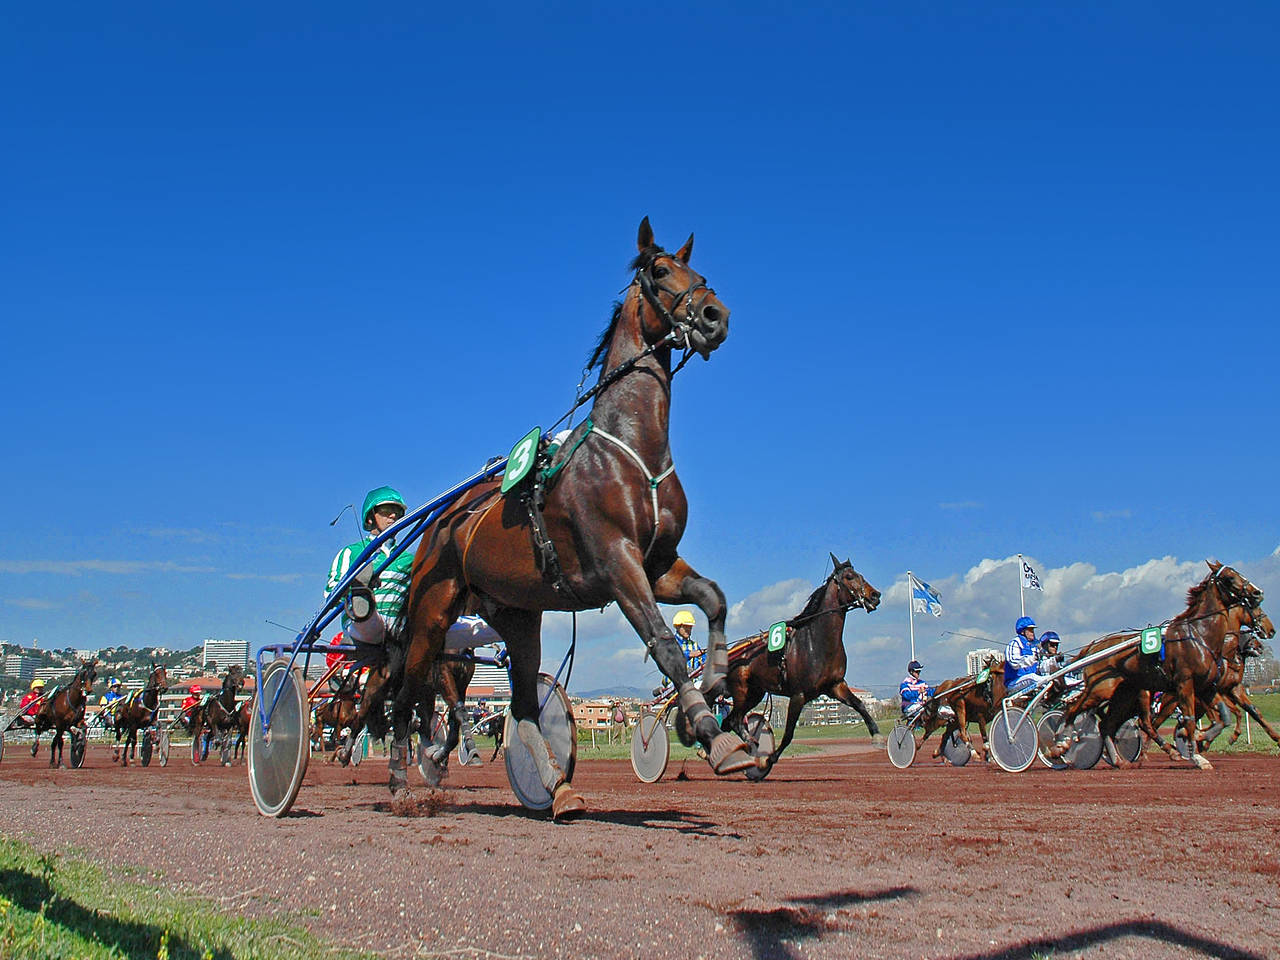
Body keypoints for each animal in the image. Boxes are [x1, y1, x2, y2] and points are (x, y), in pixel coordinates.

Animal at [389, 220, 742, 819]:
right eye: (660, 270)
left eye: (699, 271)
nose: (717, 315)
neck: (631, 447)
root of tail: (442, 521)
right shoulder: (618, 564)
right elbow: (665, 645)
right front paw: (710, 732)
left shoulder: (658, 564)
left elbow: (713, 597)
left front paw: (716, 683)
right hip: (434, 610)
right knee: (410, 687)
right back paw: (400, 779)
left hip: (515, 614)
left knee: (524, 706)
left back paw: (557, 789)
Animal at [721, 555, 880, 783]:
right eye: (849, 577)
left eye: (861, 575)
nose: (875, 595)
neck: (817, 641)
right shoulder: (799, 695)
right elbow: (788, 734)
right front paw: (768, 759)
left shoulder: (836, 685)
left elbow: (860, 704)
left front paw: (877, 736)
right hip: (741, 691)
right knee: (734, 721)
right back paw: (751, 745)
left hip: (755, 693)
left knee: (729, 722)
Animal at [1049, 563, 1269, 773]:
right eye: (1230, 577)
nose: (1258, 592)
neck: (1199, 636)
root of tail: (1093, 646)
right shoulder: (1185, 685)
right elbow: (1191, 720)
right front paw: (1197, 755)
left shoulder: (1206, 687)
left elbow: (1223, 717)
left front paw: (1199, 739)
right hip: (1101, 689)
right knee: (1073, 710)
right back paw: (1060, 744)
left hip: (1124, 695)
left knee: (1107, 725)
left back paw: (1120, 761)